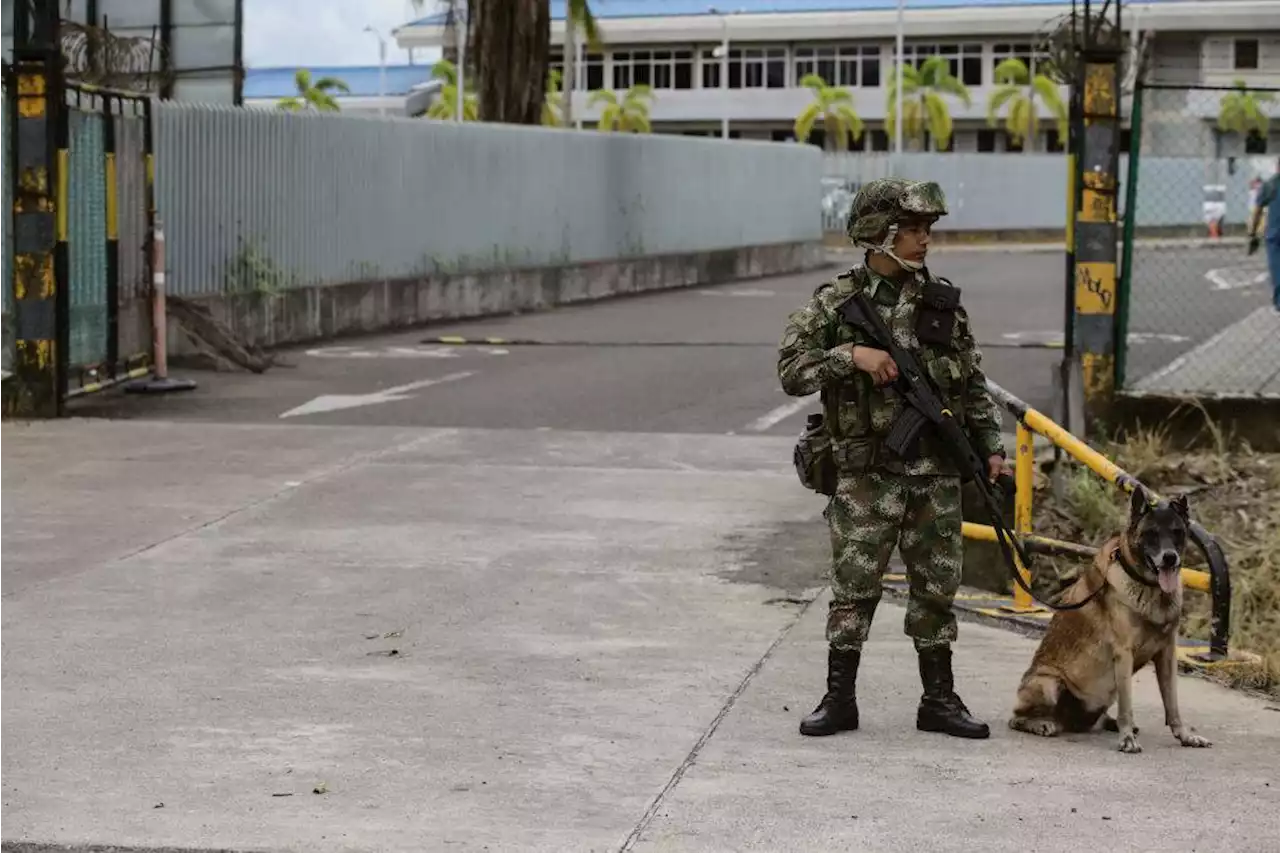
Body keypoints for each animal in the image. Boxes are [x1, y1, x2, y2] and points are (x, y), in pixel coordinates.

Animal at [1008, 484, 1208, 753]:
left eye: (1177, 532)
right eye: (1152, 534)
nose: (1170, 558)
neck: (1149, 587)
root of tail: (1068, 722)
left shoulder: (1166, 654)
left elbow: (1172, 705)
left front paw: (1185, 736)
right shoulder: (1124, 653)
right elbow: (1127, 706)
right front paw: (1127, 739)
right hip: (1048, 684)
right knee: (1016, 718)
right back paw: (1042, 724)